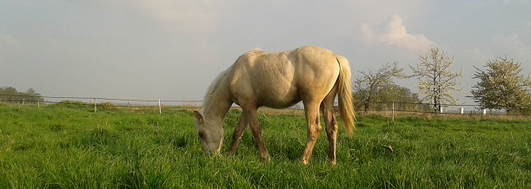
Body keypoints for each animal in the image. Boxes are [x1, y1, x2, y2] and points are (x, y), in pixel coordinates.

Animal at [193, 45, 356, 164]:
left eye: (201, 134)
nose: (210, 156)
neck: (234, 75)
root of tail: (335, 57)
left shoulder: (249, 107)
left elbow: (256, 131)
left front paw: (265, 158)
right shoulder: (247, 108)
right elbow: (238, 131)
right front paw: (229, 156)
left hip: (312, 102)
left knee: (314, 129)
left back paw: (303, 160)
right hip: (326, 102)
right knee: (331, 128)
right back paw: (331, 161)